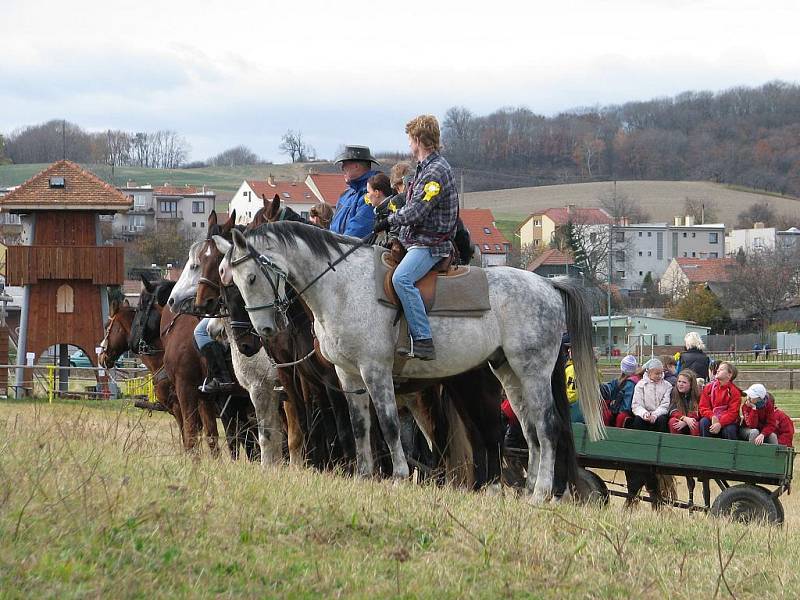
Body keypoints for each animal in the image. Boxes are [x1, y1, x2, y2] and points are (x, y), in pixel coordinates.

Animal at [216, 221, 604, 502]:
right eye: (229, 283)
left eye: (251, 277)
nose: (263, 331)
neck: (342, 288)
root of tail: (549, 286)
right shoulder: (348, 376)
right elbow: (359, 428)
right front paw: (364, 476)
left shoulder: (375, 371)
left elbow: (388, 426)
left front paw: (400, 478)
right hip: (508, 372)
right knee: (530, 430)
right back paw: (528, 491)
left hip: (531, 370)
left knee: (546, 427)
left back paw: (541, 494)